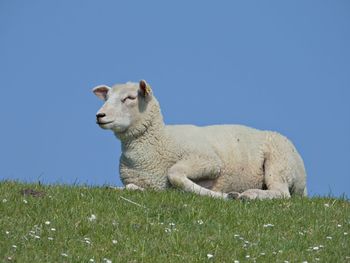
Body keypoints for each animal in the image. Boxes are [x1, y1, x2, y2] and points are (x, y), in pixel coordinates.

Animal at [92, 80, 306, 200]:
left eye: (129, 98)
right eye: (107, 97)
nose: (99, 115)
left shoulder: (209, 161)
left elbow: (174, 174)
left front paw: (221, 195)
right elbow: (130, 187)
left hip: (279, 163)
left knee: (281, 192)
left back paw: (250, 195)